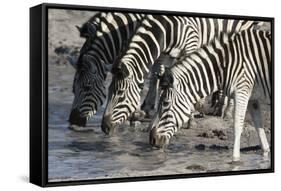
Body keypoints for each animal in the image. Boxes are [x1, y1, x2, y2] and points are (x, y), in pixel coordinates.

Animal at [101, 14, 260, 135]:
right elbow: (157, 75)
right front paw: (147, 111)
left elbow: (188, 79)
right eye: (108, 92)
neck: (167, 27)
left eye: (121, 94)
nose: (104, 127)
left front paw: (190, 118)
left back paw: (226, 111)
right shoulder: (164, 53)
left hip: (244, 30)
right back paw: (218, 106)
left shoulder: (191, 45)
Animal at [150, 29, 270, 161]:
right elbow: (259, 126)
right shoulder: (252, 98)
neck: (225, 64)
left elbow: (237, 126)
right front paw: (265, 154)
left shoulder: (242, 90)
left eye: (165, 103)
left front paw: (235, 159)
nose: (152, 140)